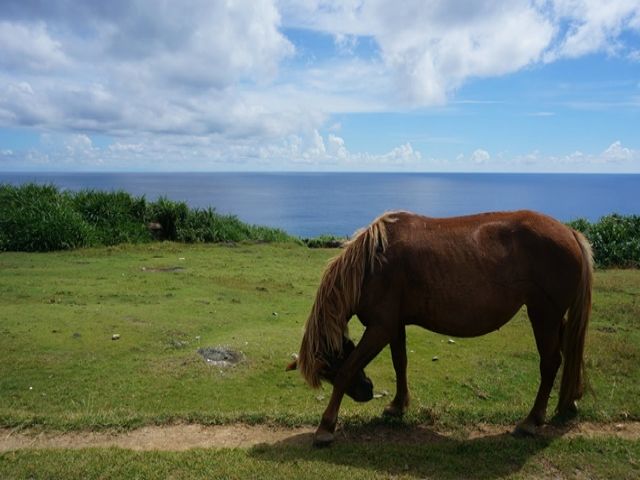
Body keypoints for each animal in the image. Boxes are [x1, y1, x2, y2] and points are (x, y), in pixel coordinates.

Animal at [287, 210, 593, 446]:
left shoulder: (380, 327)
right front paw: (398, 405)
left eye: (329, 369)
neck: (372, 264)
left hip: (544, 316)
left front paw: (326, 427)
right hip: (555, 318)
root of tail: (569, 233)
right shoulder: (395, 325)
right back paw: (569, 401)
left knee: (550, 363)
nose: (366, 392)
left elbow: (349, 369)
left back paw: (532, 420)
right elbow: (400, 362)